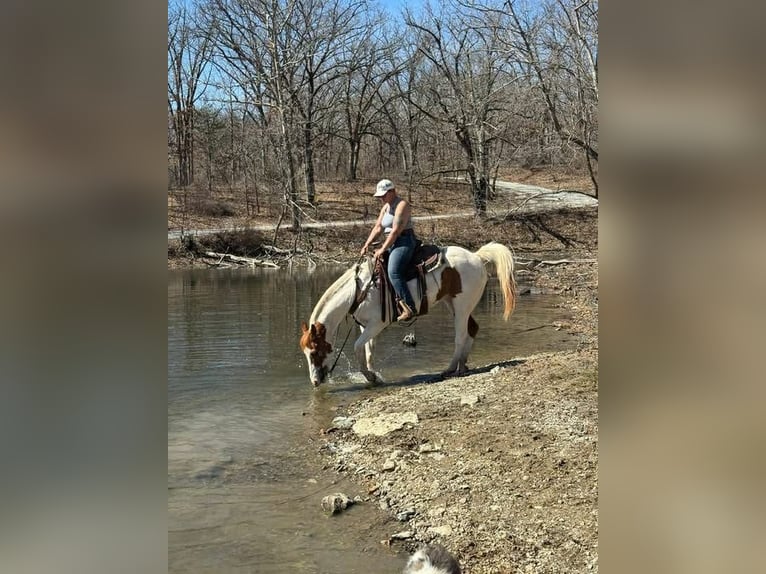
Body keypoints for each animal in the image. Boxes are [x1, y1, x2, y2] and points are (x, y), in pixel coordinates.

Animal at [299, 242, 516, 387]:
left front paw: (370, 376)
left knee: (461, 335)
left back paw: (450, 369)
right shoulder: (365, 326)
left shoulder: (376, 324)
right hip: (452, 303)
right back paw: (462, 366)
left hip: (462, 305)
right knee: (472, 329)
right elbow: (368, 350)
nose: (315, 382)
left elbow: (358, 347)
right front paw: (374, 376)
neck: (360, 291)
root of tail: (477, 257)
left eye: (314, 352)